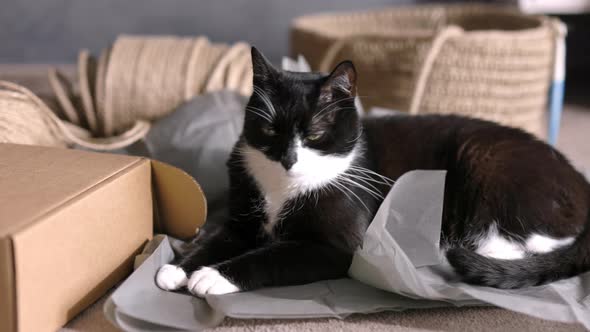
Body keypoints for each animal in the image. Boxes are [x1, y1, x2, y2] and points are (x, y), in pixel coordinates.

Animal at [156, 47, 590, 296]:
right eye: (269, 130)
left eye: (314, 133)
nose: (289, 159)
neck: (284, 189)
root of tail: (581, 181)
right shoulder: (242, 218)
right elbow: (219, 238)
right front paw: (178, 269)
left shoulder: (338, 246)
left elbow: (270, 256)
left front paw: (213, 277)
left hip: (486, 159)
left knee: (528, 242)